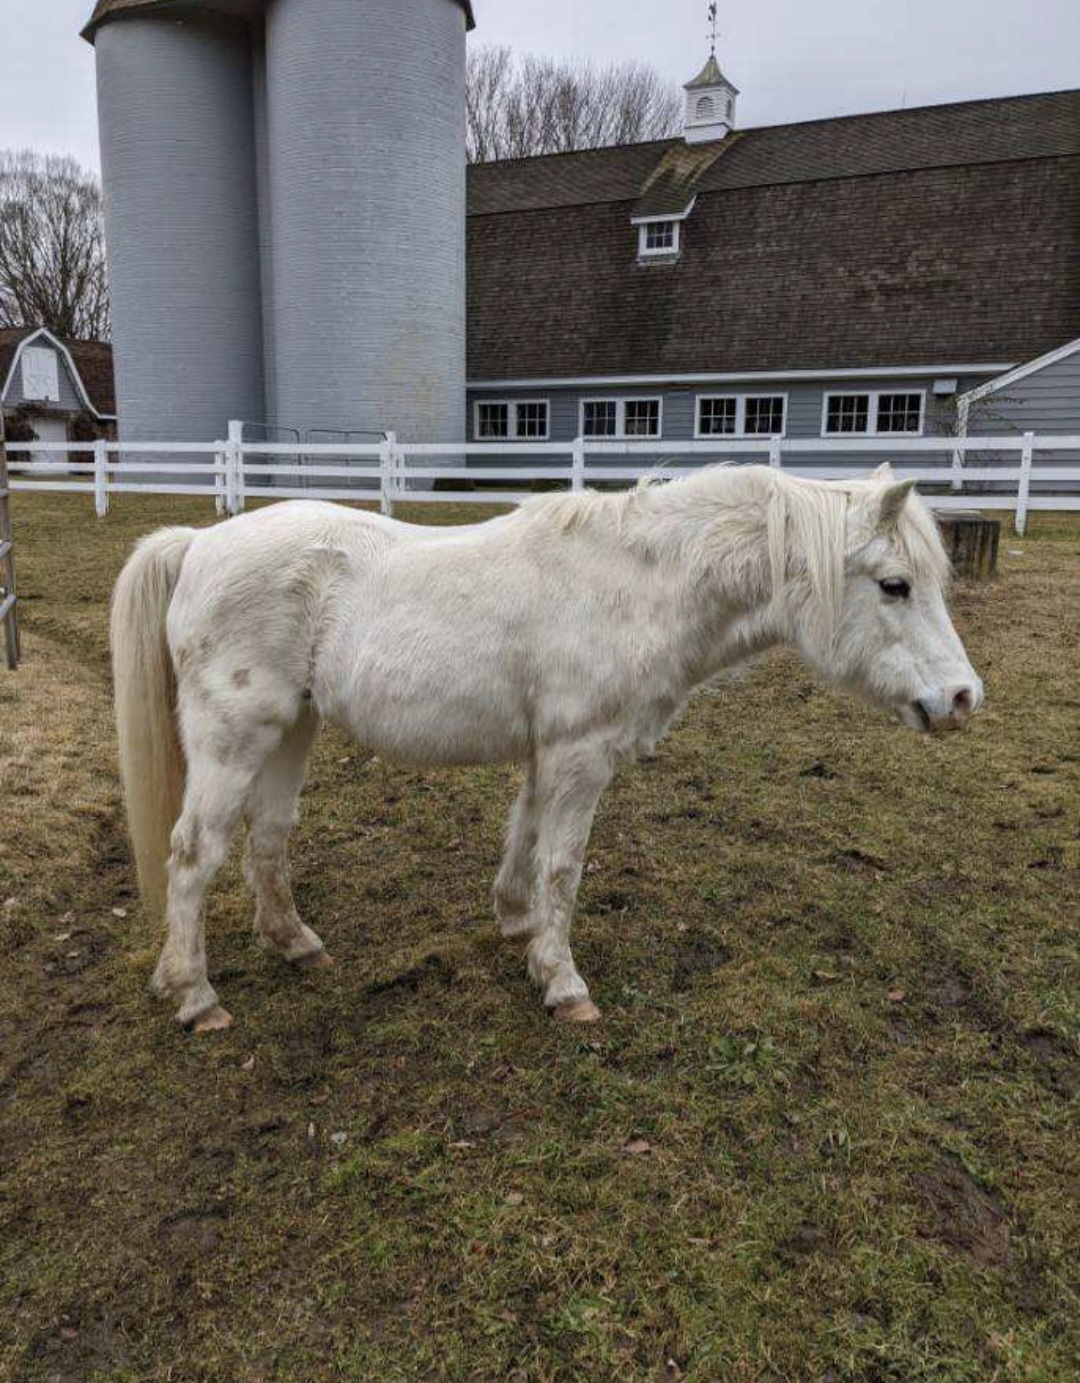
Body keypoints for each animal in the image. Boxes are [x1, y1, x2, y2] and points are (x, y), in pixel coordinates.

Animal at [110, 463, 982, 1033]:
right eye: (895, 584)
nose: (962, 698)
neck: (638, 585)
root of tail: (199, 543)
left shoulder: (548, 753)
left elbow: (525, 841)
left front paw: (516, 925)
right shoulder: (579, 755)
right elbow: (564, 864)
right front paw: (563, 982)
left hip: (293, 727)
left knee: (268, 836)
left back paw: (294, 943)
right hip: (235, 738)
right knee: (193, 854)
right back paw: (195, 996)